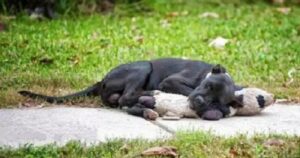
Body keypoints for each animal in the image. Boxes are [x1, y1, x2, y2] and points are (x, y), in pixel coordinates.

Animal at [19, 58, 241, 118]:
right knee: (126, 97)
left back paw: (147, 108)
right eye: (207, 85)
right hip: (143, 66)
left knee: (124, 101)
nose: (200, 102)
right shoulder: (170, 82)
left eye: (216, 98)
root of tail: (102, 80)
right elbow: (186, 91)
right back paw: (151, 95)